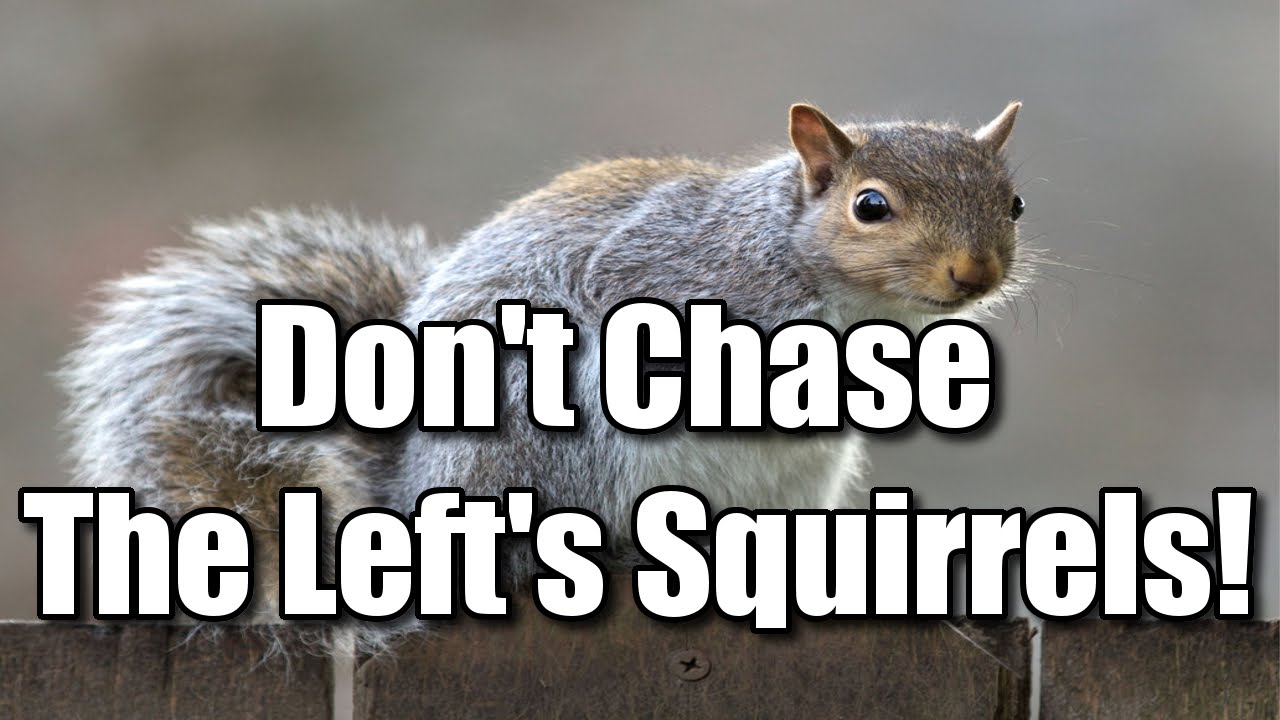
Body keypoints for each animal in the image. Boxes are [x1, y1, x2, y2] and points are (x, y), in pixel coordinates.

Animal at [60, 101, 1028, 649]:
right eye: (870, 206)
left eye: (1015, 201)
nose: (974, 272)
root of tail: (411, 515)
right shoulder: (666, 271)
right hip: (557, 453)